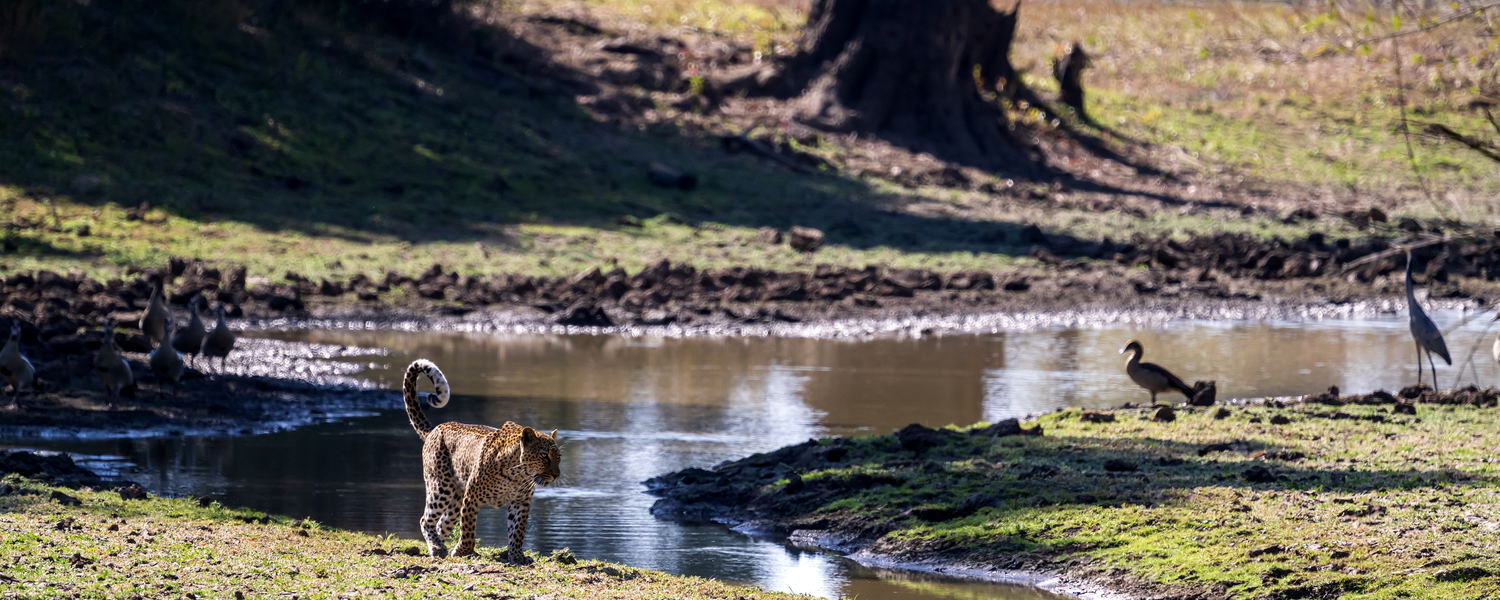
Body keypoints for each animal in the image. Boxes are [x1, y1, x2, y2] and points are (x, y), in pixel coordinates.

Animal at [401, 359, 561, 563]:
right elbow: (468, 529)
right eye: (545, 456)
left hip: (456, 499)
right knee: (426, 520)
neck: (518, 474)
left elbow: (517, 532)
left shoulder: (521, 502)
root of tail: (434, 430)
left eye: (559, 457)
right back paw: (437, 548)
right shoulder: (472, 498)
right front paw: (463, 551)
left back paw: (439, 546)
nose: (556, 475)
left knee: (441, 524)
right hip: (441, 488)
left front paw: (517, 556)